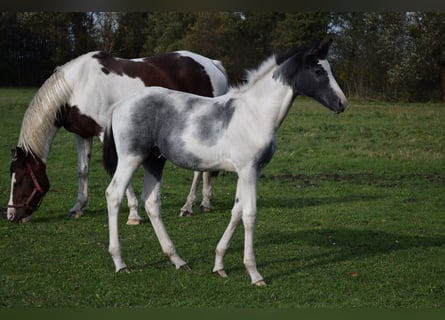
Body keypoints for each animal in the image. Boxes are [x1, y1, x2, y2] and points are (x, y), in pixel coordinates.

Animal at [6, 51, 227, 224]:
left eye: (21, 179)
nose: (11, 215)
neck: (77, 86)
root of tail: (212, 65)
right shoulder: (82, 135)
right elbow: (82, 170)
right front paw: (78, 207)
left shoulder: (105, 133)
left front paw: (134, 214)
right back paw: (205, 203)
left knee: (198, 171)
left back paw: (187, 207)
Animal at [101, 38, 346, 286]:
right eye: (318, 70)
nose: (341, 103)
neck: (255, 114)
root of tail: (119, 105)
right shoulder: (248, 171)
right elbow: (249, 215)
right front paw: (254, 273)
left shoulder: (248, 172)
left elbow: (236, 212)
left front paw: (219, 265)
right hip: (131, 158)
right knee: (114, 195)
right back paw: (120, 262)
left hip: (154, 161)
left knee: (151, 202)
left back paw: (178, 260)